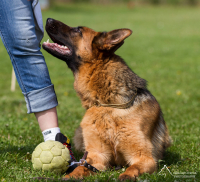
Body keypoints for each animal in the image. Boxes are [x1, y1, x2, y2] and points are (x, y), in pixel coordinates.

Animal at [43, 18, 171, 181]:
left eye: (78, 30)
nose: (48, 19)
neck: (109, 105)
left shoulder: (145, 158)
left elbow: (133, 167)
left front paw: (126, 175)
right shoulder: (96, 157)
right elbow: (80, 168)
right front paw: (70, 175)